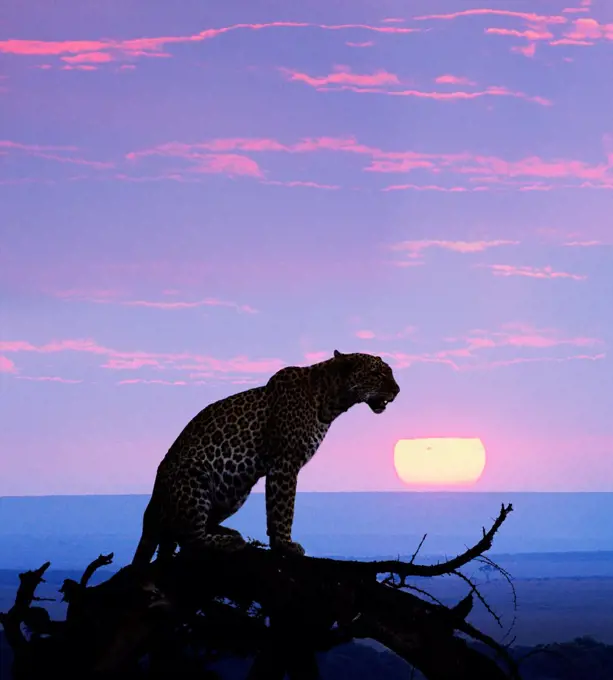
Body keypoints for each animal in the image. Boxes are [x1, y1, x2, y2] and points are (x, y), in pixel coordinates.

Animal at [131, 348, 400, 564]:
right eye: (377, 374)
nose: (397, 390)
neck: (331, 400)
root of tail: (153, 500)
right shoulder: (285, 462)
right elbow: (283, 507)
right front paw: (285, 545)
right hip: (195, 478)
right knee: (189, 537)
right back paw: (230, 541)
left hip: (233, 488)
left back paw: (228, 532)